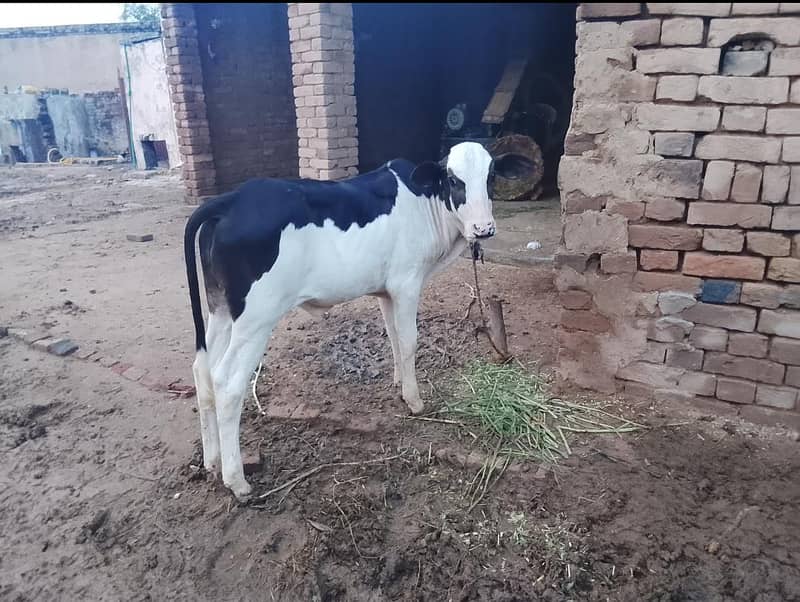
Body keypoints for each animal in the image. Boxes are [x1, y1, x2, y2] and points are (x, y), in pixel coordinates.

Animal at [183, 141, 529, 500]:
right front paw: (414, 400)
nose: (483, 228)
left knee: (202, 371)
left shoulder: (386, 290)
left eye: (491, 176)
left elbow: (393, 336)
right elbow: (409, 341)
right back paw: (236, 480)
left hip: (221, 309)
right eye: (452, 179)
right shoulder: (407, 282)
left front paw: (399, 384)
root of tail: (231, 199)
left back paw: (212, 461)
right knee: (227, 382)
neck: (423, 202)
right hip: (256, 318)